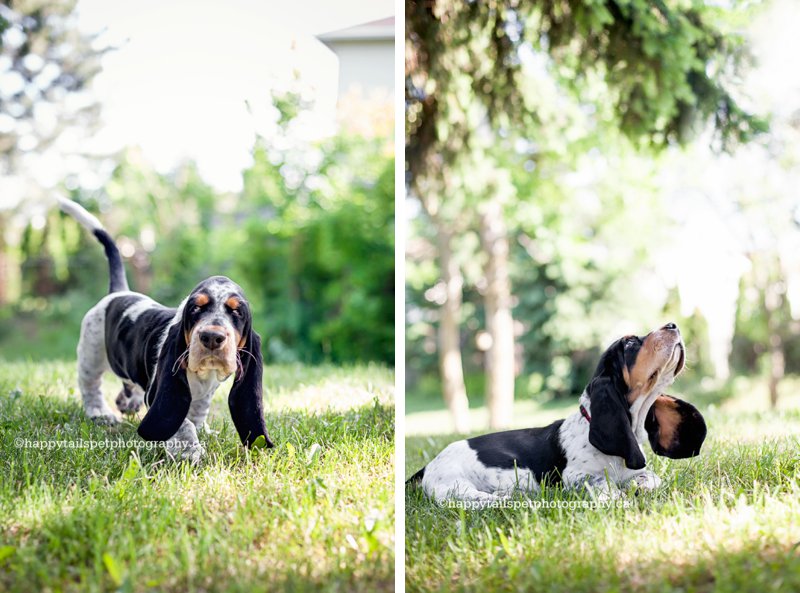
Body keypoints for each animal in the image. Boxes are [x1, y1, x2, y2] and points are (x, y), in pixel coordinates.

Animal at [57, 197, 274, 460]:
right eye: (195, 308)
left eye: (237, 312)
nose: (212, 337)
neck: (202, 375)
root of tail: (119, 292)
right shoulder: (159, 392)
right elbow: (182, 422)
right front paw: (188, 448)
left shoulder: (205, 393)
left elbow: (198, 412)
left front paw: (202, 432)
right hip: (91, 355)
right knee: (91, 386)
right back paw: (100, 413)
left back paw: (126, 402)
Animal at [406, 324, 708, 500]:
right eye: (630, 344)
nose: (673, 324)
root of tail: (427, 467)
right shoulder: (575, 476)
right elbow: (602, 486)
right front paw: (617, 497)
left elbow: (651, 478)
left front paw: (640, 487)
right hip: (457, 487)